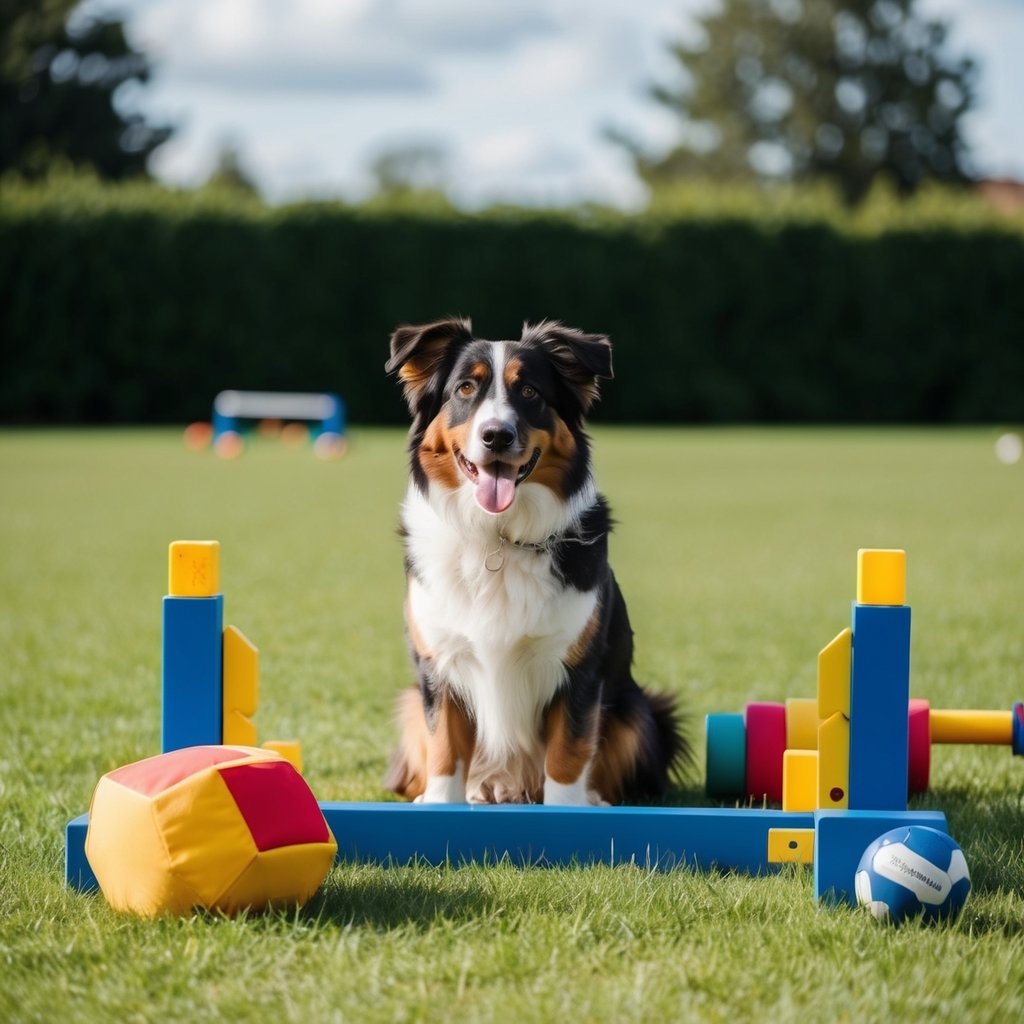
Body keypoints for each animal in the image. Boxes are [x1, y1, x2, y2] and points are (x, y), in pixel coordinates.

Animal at [385, 315, 688, 802]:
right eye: (465, 388)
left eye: (529, 392)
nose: (496, 435)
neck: (498, 538)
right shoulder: (439, 667)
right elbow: (444, 751)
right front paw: (440, 804)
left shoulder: (577, 669)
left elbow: (567, 754)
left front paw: (567, 808)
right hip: (411, 701)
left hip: (640, 711)